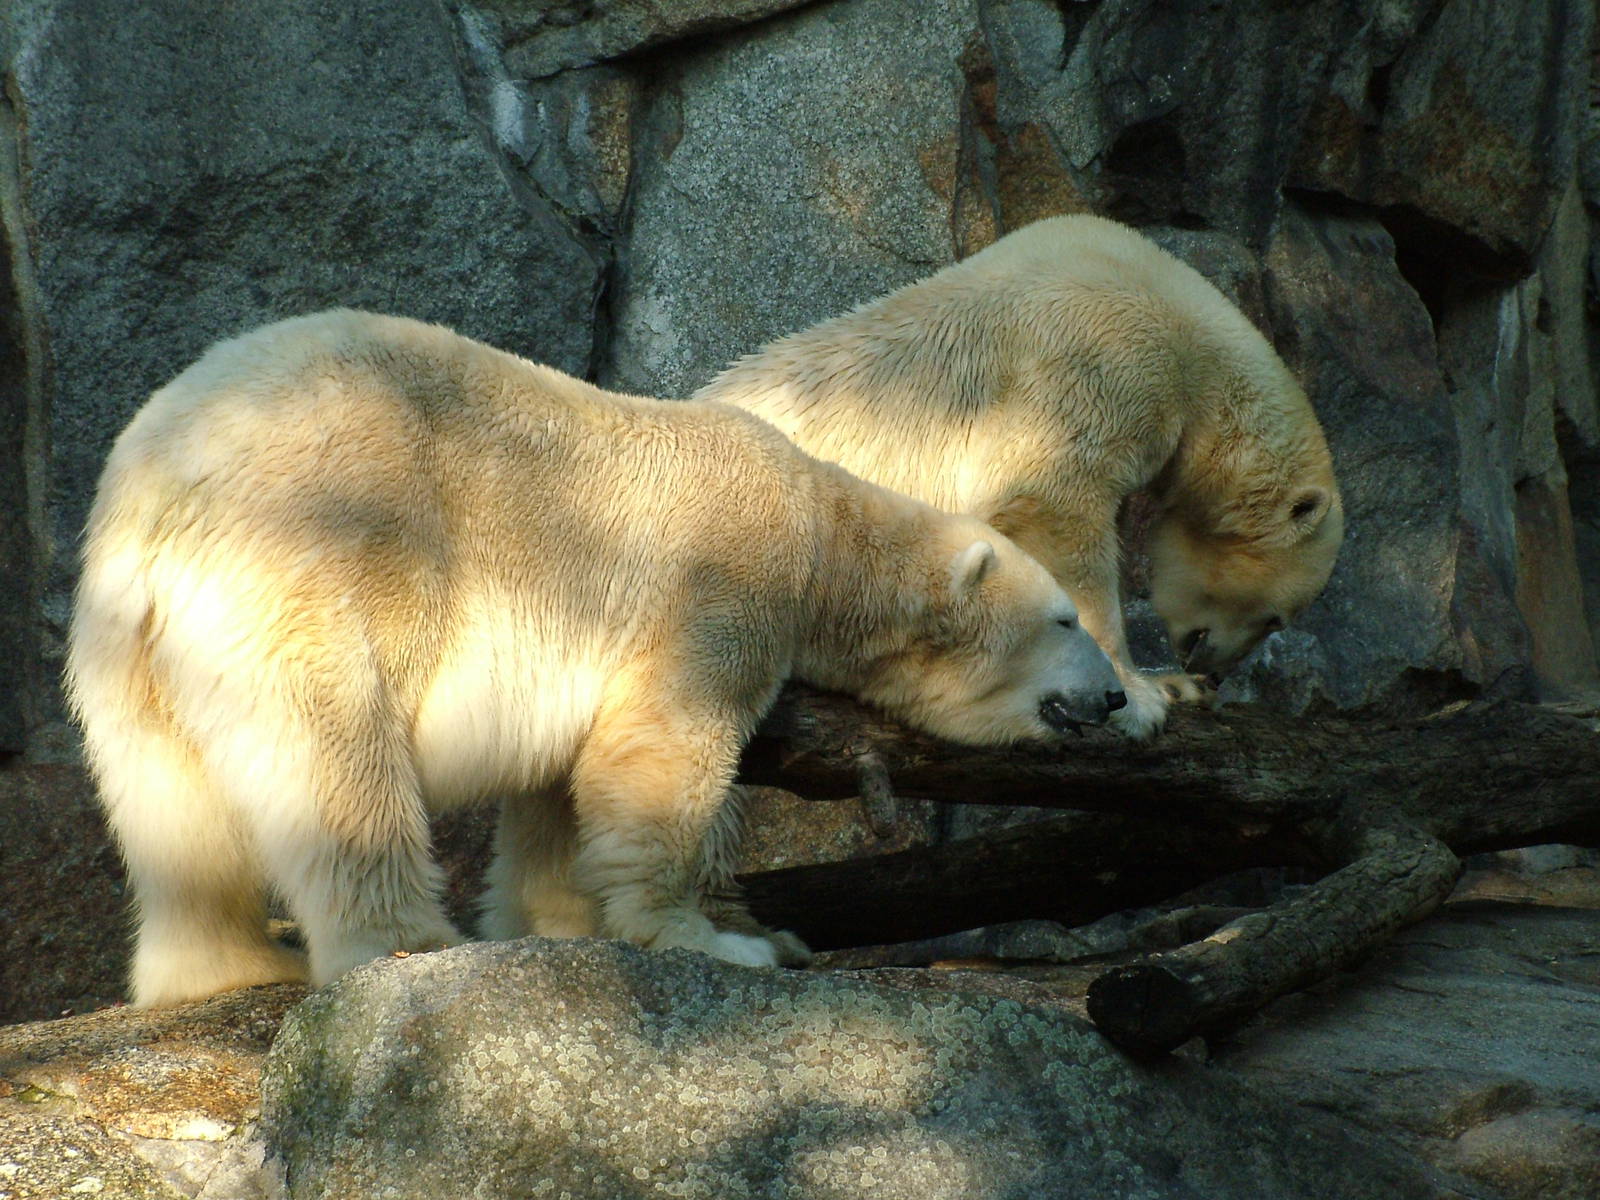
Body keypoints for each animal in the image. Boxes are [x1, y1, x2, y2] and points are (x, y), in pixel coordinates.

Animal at [66, 308, 1125, 1007]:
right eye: (1068, 620)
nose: (1115, 699)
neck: (826, 526)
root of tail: (170, 479)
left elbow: (557, 793)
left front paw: (554, 922)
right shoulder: (725, 578)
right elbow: (659, 750)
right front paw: (717, 940)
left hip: (124, 629)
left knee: (166, 804)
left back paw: (227, 965)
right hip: (324, 550)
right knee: (332, 747)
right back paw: (404, 942)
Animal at [696, 213, 1344, 740]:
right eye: (1276, 617)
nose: (1213, 670)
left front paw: (1169, 685)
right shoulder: (1095, 361)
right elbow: (1054, 509)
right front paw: (1141, 696)